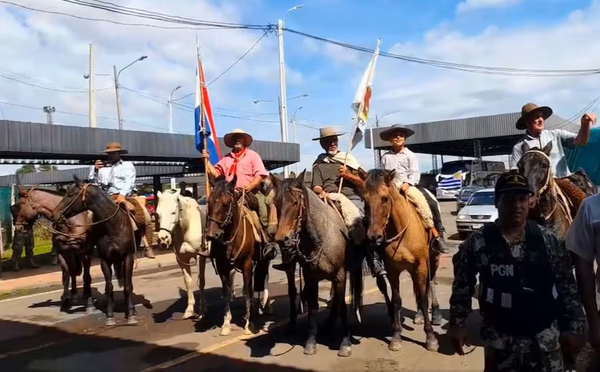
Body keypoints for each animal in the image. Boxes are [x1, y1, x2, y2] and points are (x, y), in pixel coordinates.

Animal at [51, 175, 141, 326]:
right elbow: (109, 287)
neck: (113, 226)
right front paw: (110, 316)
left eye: (71, 194)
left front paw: (131, 315)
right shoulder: (105, 260)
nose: (55, 214)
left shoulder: (128, 257)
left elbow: (128, 286)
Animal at [155, 190, 209, 322]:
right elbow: (188, 281)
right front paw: (189, 310)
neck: (188, 226)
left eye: (173, 212)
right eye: (158, 214)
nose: (163, 238)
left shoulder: (201, 256)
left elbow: (201, 281)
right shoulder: (182, 259)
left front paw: (202, 311)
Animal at [206, 175, 272, 338]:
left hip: (263, 259)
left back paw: (265, 307)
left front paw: (248, 325)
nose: (211, 235)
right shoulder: (222, 266)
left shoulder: (247, 263)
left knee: (264, 278)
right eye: (209, 202)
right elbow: (227, 292)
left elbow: (247, 291)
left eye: (225, 204)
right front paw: (226, 324)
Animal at [270, 171, 364, 358]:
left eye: (295, 202)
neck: (320, 237)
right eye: (276, 203)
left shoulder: (340, 275)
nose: (282, 239)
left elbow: (342, 306)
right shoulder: (310, 277)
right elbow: (313, 308)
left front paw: (345, 344)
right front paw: (311, 342)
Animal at [356, 170, 440, 354]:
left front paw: (430, 338)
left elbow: (424, 298)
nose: (374, 236)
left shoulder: (421, 265)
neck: (402, 231)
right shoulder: (393, 269)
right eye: (364, 199)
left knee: (430, 283)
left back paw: (435, 313)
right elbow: (396, 300)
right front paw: (396, 337)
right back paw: (418, 315)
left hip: (433, 260)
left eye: (385, 198)